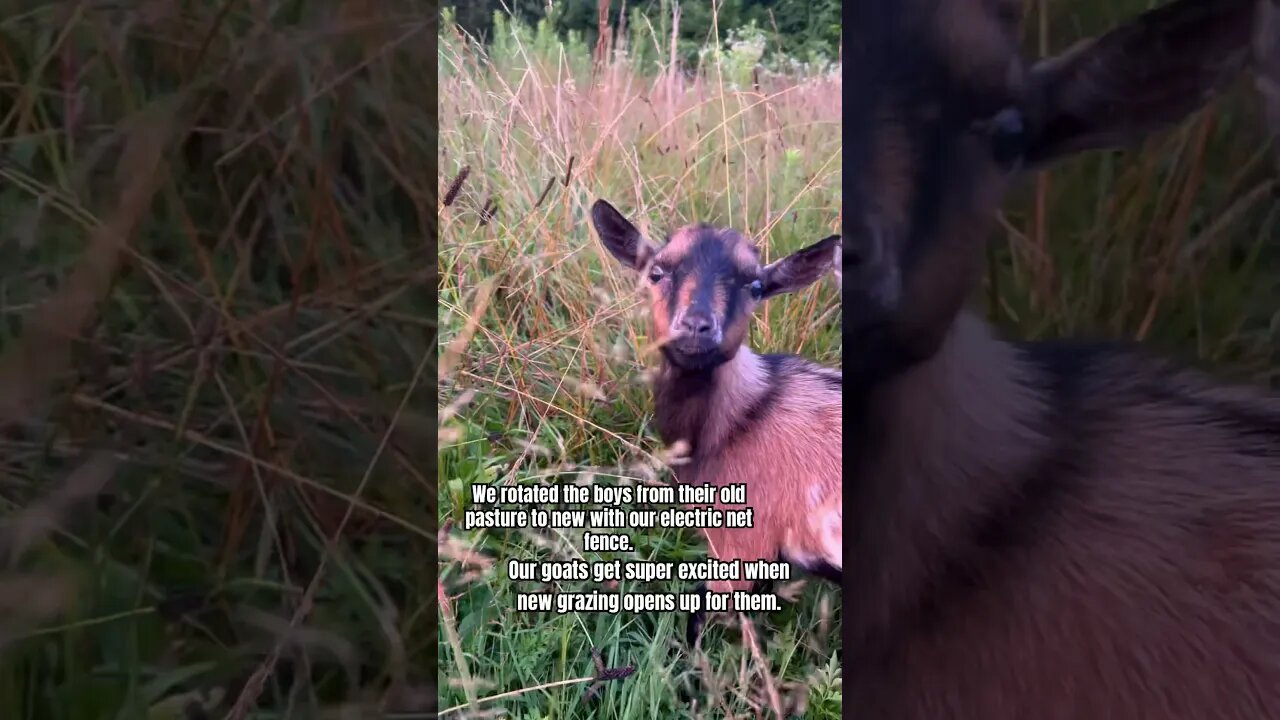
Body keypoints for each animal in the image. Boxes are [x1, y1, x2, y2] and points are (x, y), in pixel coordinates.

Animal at [591, 199, 844, 638]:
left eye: (755, 287)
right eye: (656, 272)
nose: (696, 326)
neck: (744, 417)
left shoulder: (740, 543)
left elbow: (699, 621)